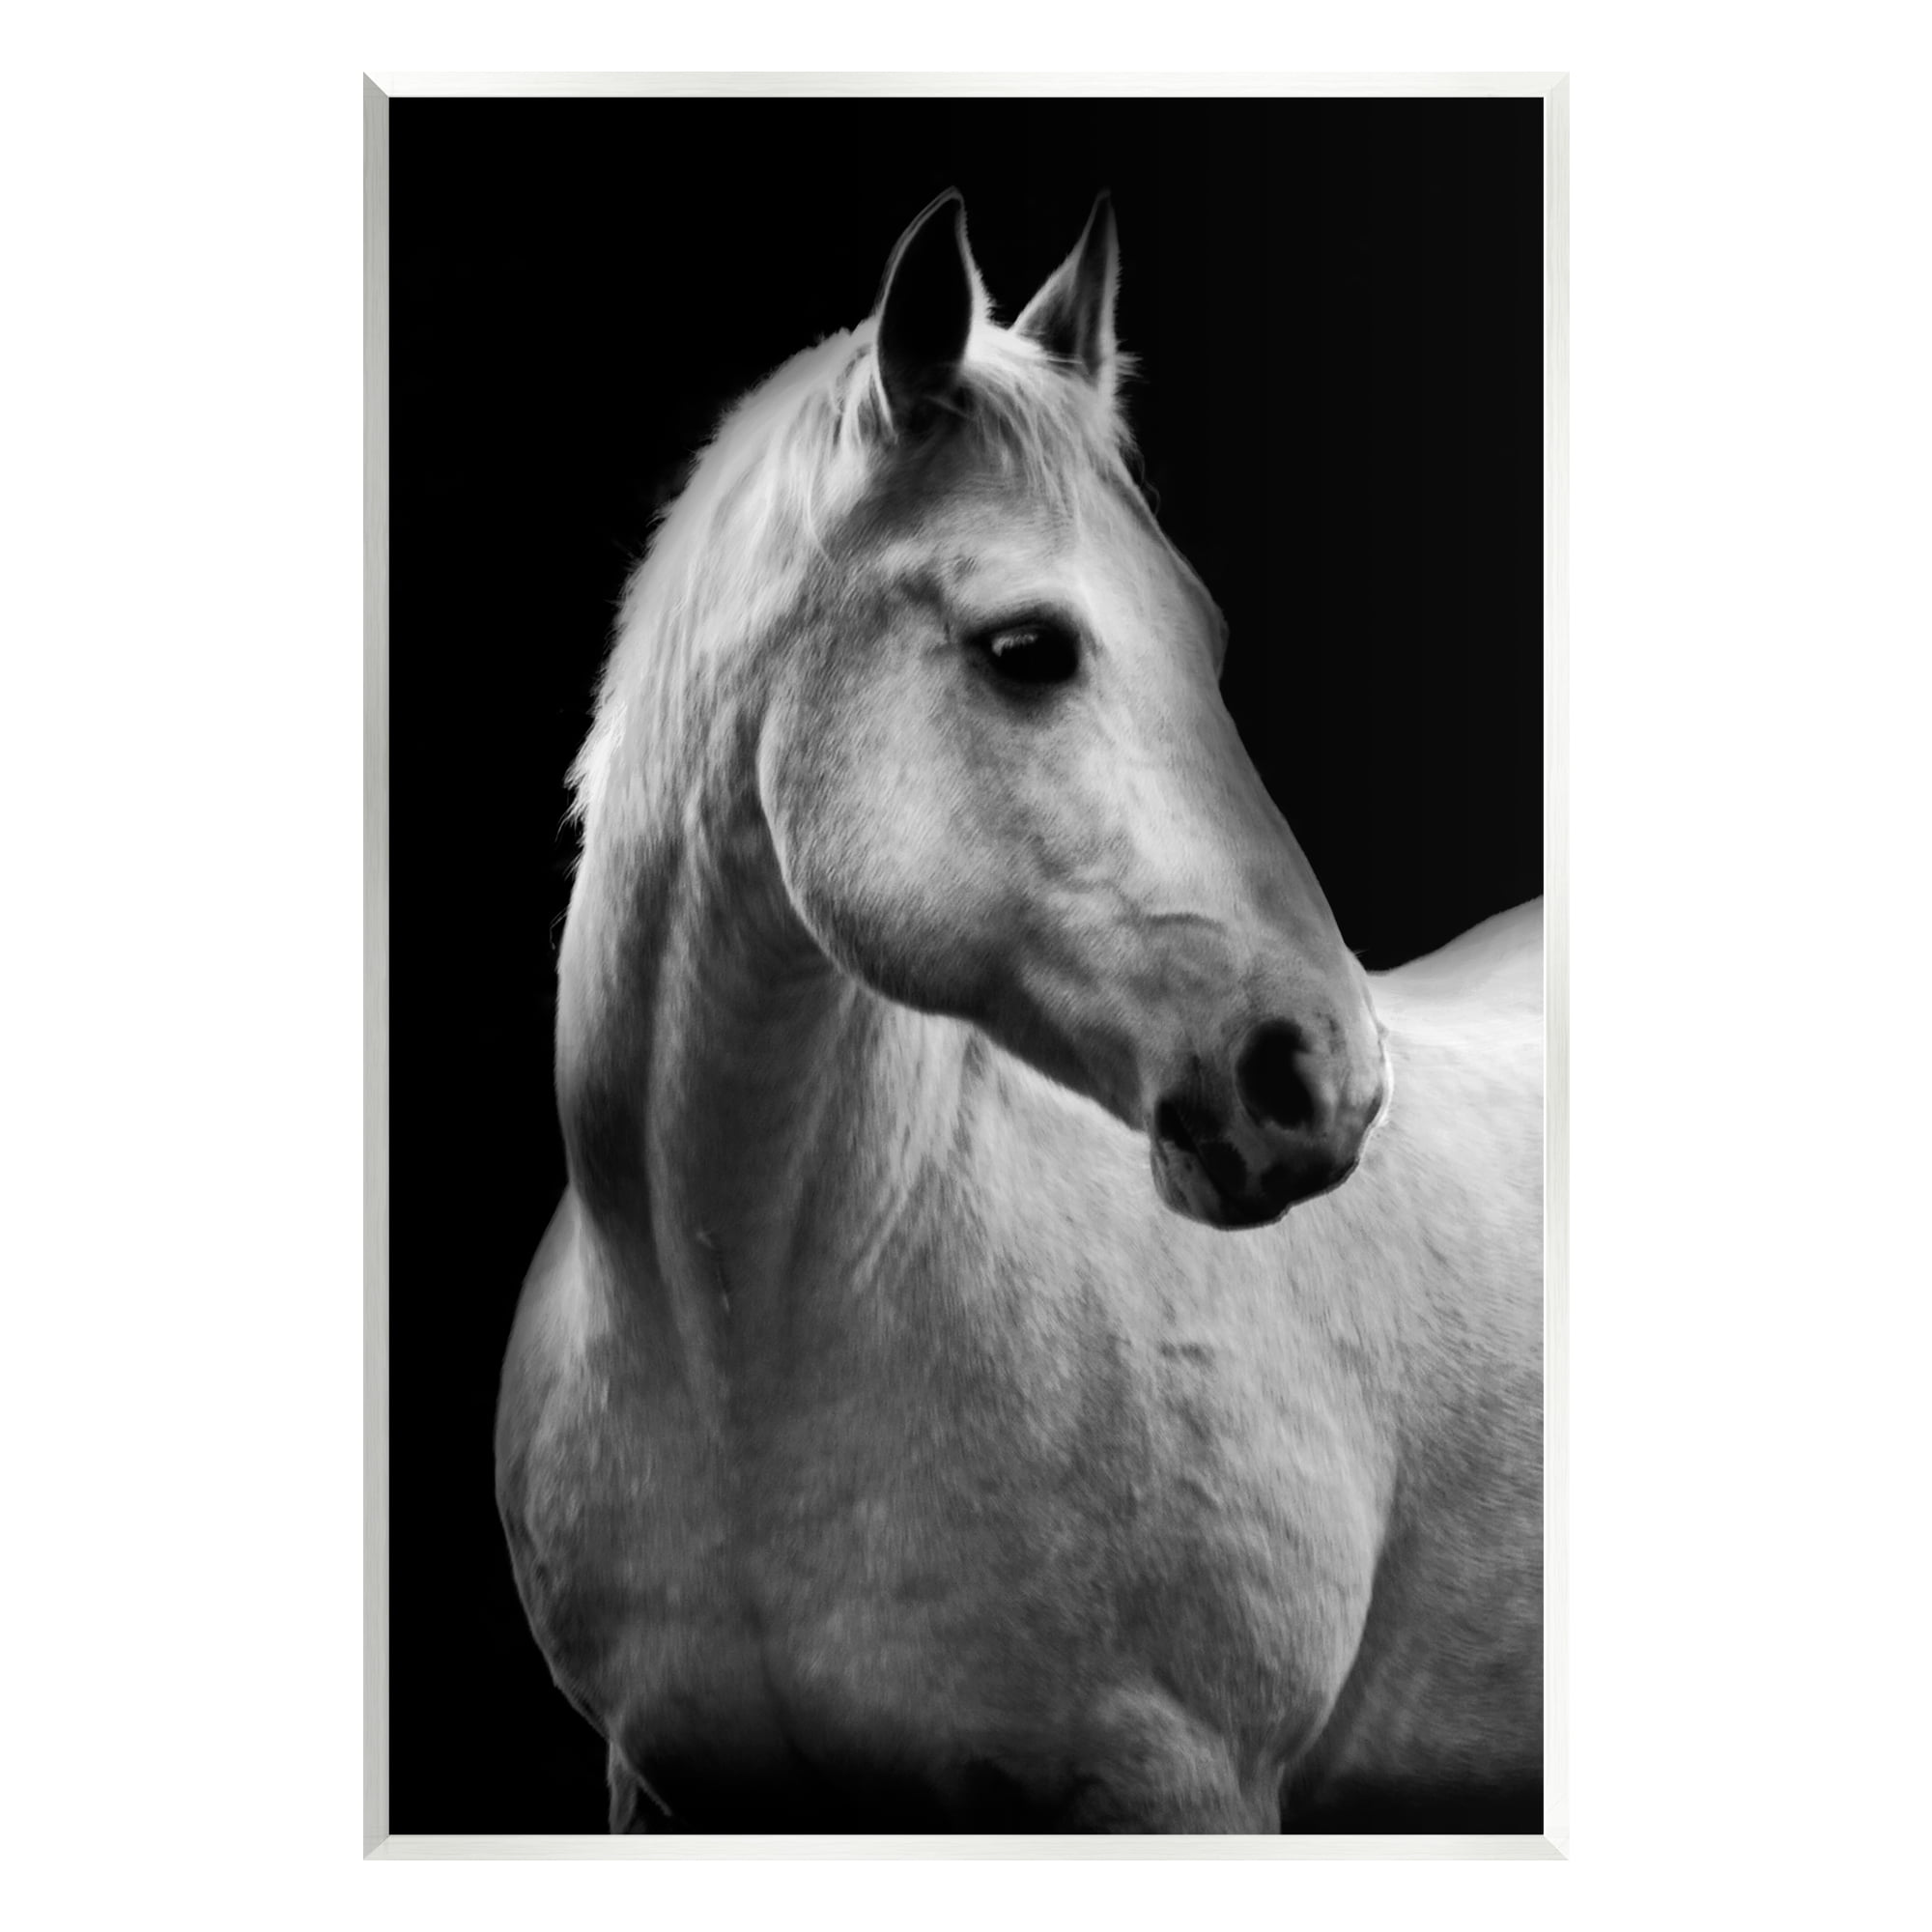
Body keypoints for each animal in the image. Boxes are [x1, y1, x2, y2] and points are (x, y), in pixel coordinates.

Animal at [495, 190, 1544, 1834]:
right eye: (1027, 649)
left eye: (1205, 639)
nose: (1319, 1077)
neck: (744, 1346)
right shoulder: (659, 1783)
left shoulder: (1183, 1788)